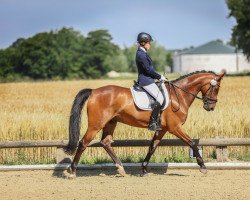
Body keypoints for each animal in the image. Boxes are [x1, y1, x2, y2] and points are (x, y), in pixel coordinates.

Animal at [64, 70, 225, 178]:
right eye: (216, 88)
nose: (210, 107)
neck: (178, 95)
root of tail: (94, 91)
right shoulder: (175, 128)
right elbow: (192, 143)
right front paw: (202, 166)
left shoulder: (162, 129)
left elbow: (152, 147)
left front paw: (144, 169)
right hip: (96, 124)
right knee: (83, 143)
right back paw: (71, 171)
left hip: (111, 122)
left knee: (105, 142)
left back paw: (121, 168)